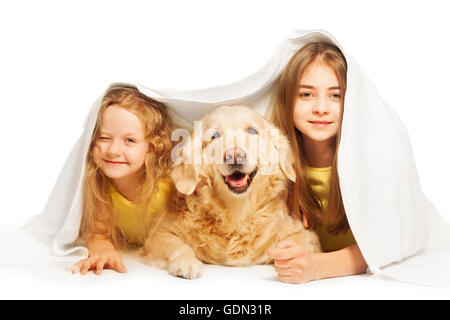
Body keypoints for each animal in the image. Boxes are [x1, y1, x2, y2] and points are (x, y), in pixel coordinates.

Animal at [141, 106, 320, 278]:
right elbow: (178, 246)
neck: (236, 213)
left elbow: (299, 244)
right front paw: (186, 263)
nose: (234, 156)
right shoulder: (158, 235)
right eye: (215, 136)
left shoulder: (306, 235)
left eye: (252, 131)